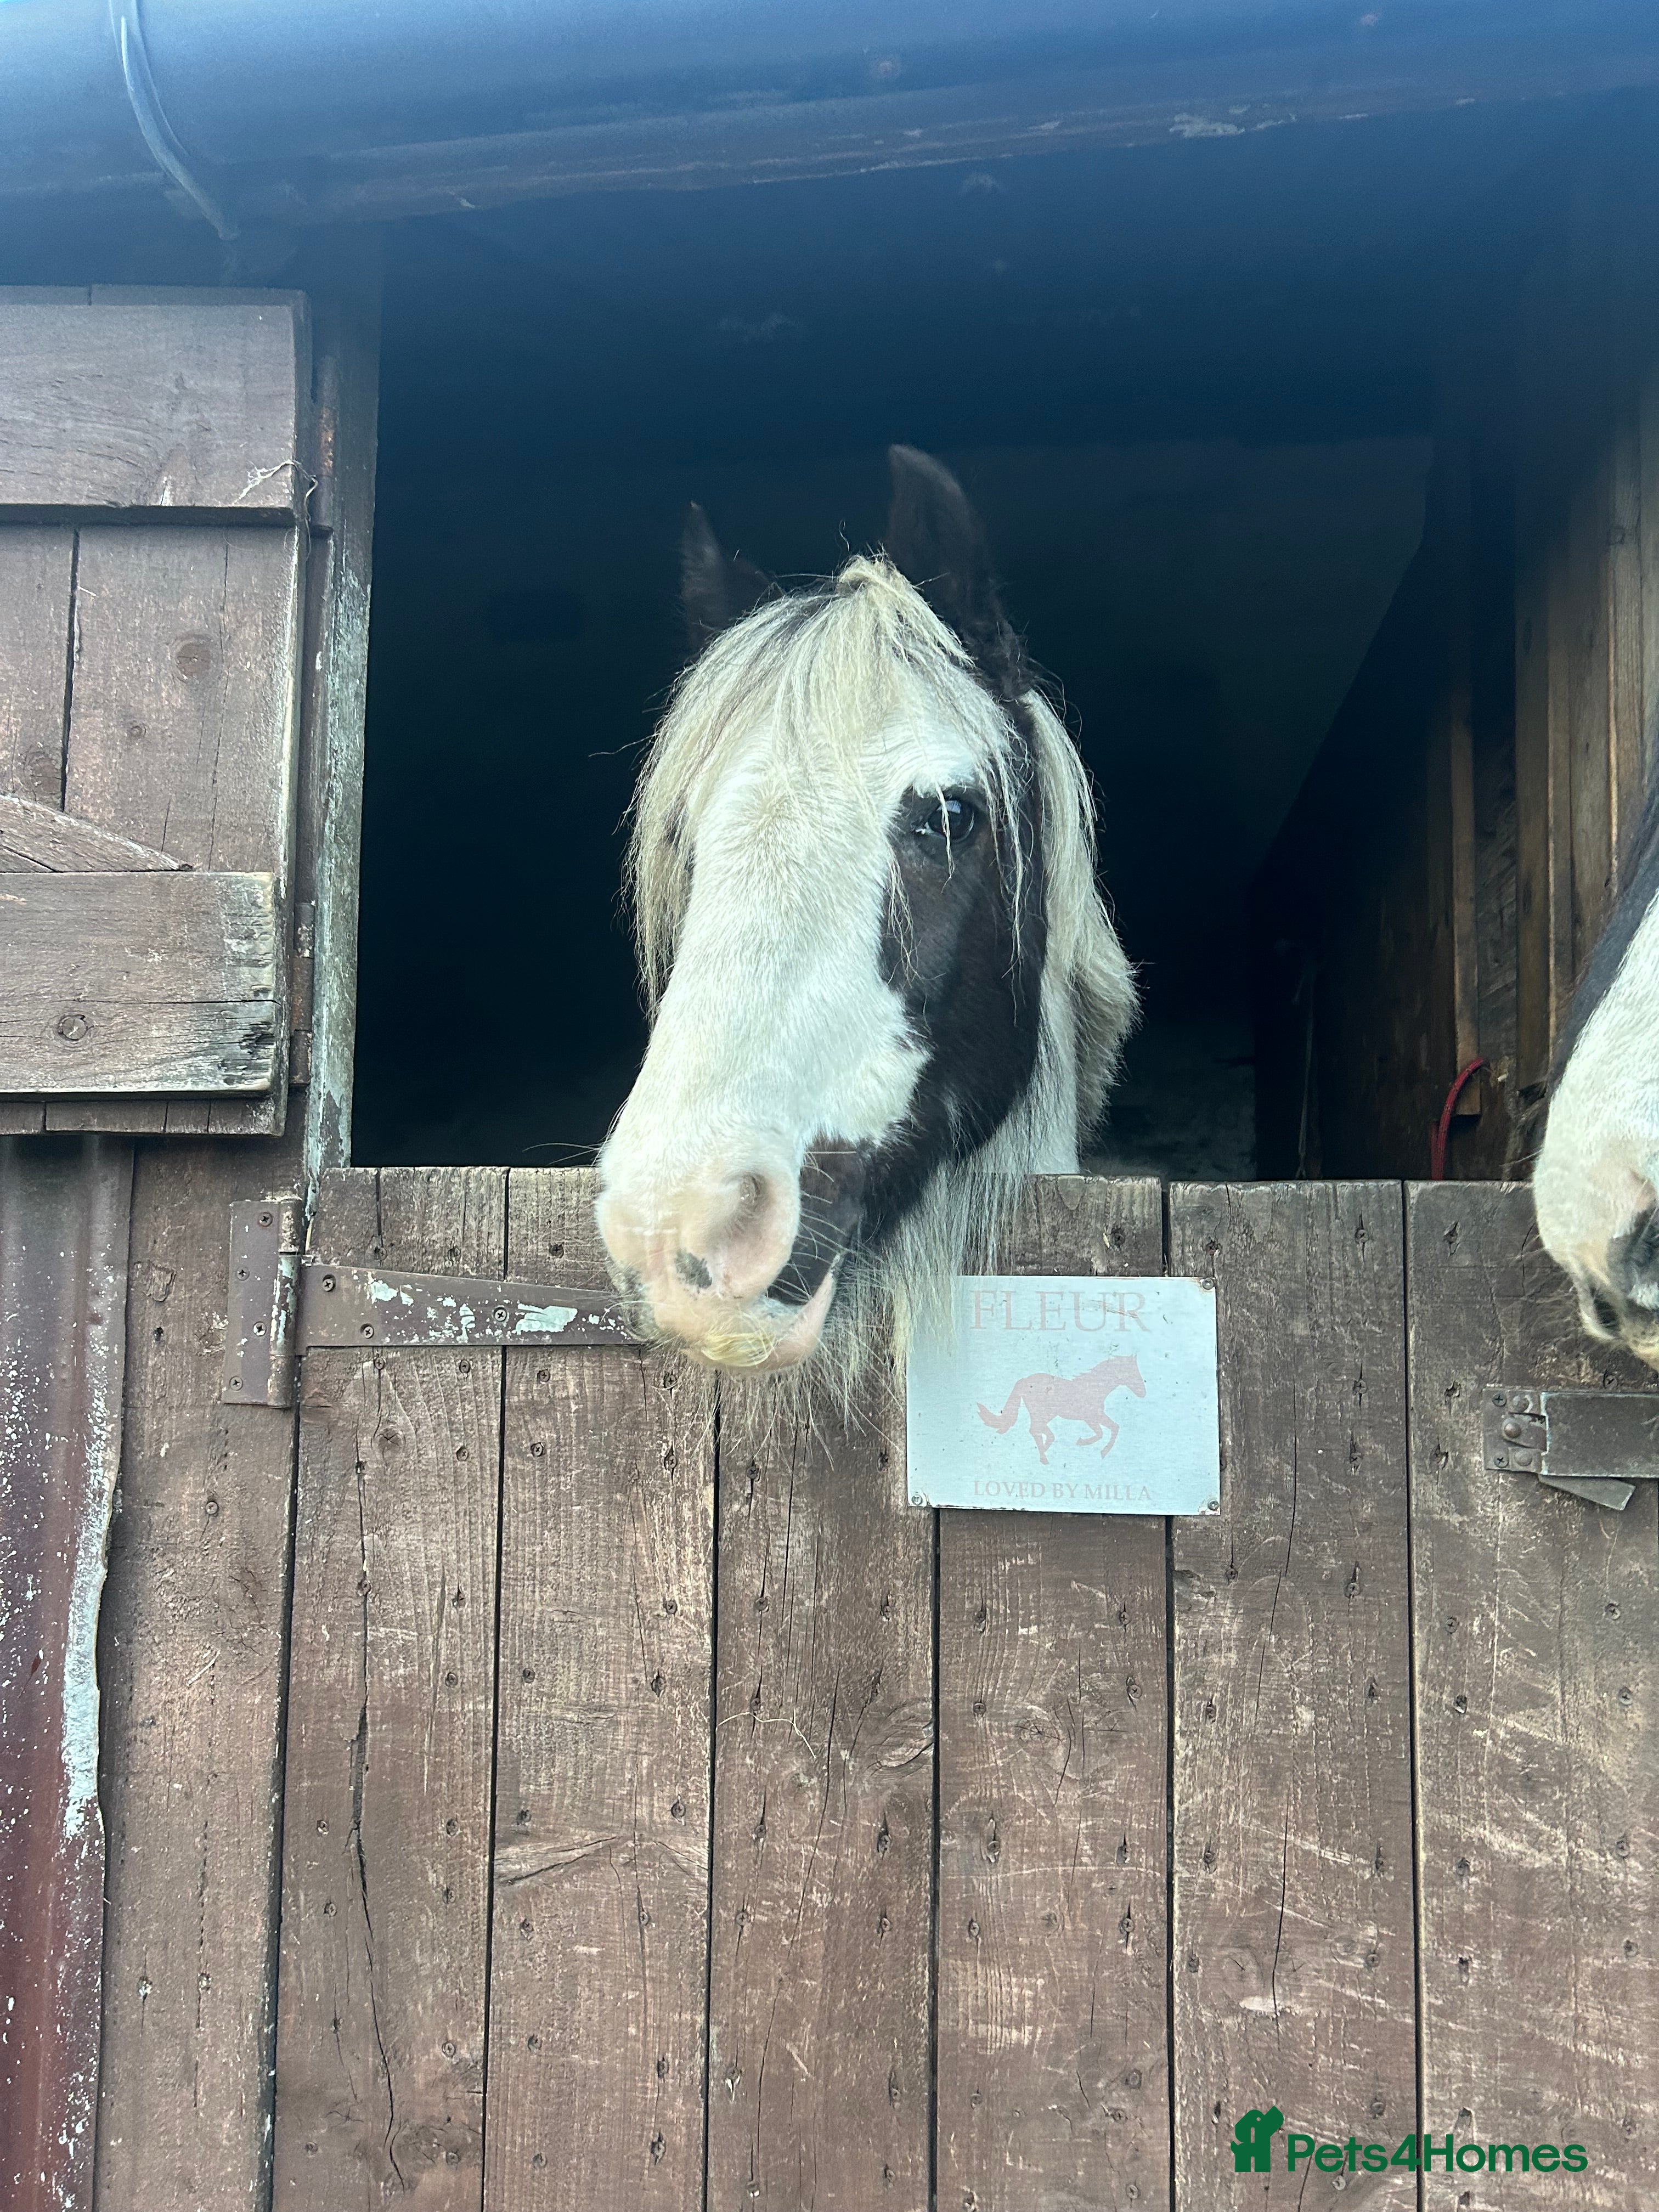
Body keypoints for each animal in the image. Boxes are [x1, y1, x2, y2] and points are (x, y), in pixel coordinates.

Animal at [976, 1353, 1147, 1464]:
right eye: (1133, 1373)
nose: (1143, 1393)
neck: (1094, 1388)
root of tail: (1025, 1381)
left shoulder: (1091, 1418)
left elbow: (1107, 1430)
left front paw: (1089, 1445)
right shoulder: (1093, 1416)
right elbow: (1108, 1430)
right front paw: (1095, 1448)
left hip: (1046, 1416)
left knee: (1041, 1432)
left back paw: (1043, 1455)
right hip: (1042, 1414)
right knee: (1037, 1431)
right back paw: (1044, 1458)